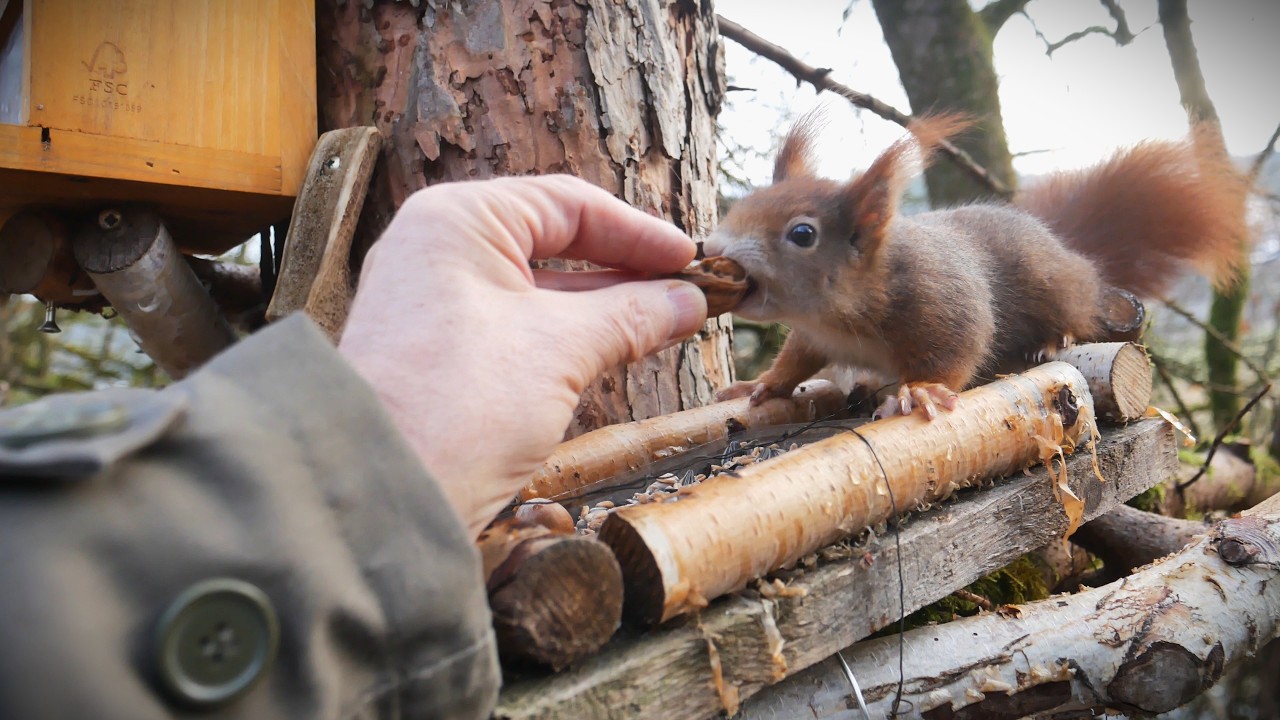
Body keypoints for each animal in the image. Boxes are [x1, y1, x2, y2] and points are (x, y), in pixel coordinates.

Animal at [706, 114, 1249, 419]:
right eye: (745, 203)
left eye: (802, 234)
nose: (712, 246)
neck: (841, 311)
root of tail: (1066, 249)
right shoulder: (815, 337)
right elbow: (795, 361)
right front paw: (760, 384)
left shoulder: (943, 299)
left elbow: (962, 346)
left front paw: (923, 391)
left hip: (1057, 286)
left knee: (1080, 312)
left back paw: (1054, 338)